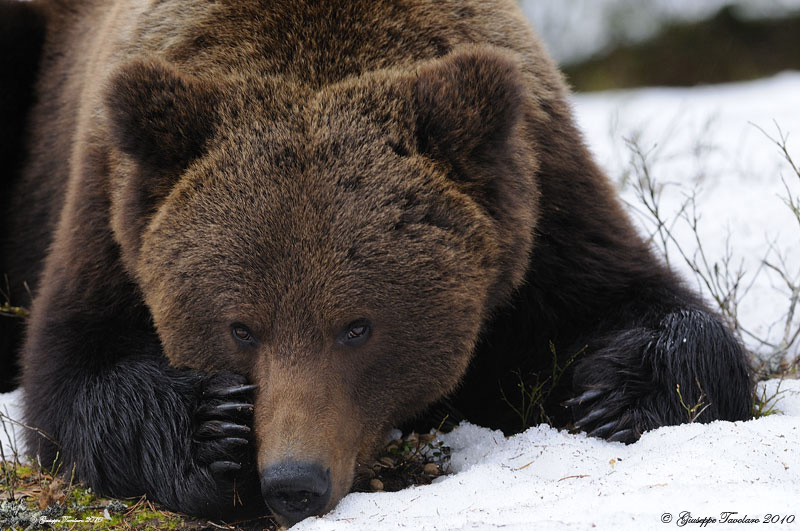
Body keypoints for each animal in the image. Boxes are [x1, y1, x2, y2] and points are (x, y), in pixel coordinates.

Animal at [1, 0, 752, 528]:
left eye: (357, 326)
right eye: (241, 326)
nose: (294, 481)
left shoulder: (542, 205)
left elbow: (642, 306)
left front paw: (615, 393)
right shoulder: (106, 209)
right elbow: (73, 374)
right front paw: (212, 429)